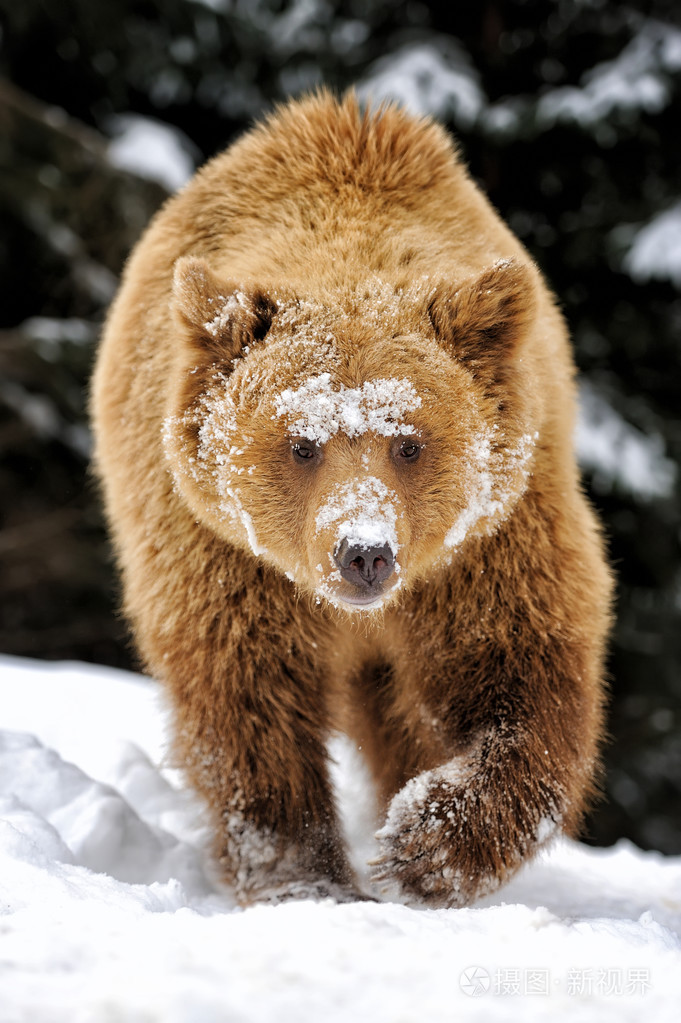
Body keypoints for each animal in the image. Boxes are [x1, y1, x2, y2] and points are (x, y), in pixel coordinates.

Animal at [89, 92, 609, 908]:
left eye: (409, 443)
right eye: (302, 443)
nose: (363, 552)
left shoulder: (489, 538)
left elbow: (521, 665)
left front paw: (428, 841)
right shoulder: (224, 555)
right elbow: (249, 694)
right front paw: (302, 877)